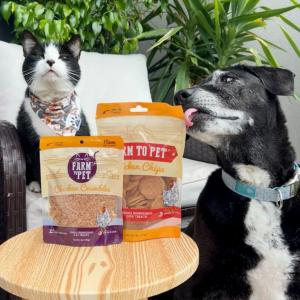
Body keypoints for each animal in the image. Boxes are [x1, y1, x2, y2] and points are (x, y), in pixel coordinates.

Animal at [17, 31, 89, 193]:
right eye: (39, 55)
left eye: (63, 57)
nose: (50, 61)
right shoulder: (33, 143)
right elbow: (39, 168)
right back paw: (34, 184)